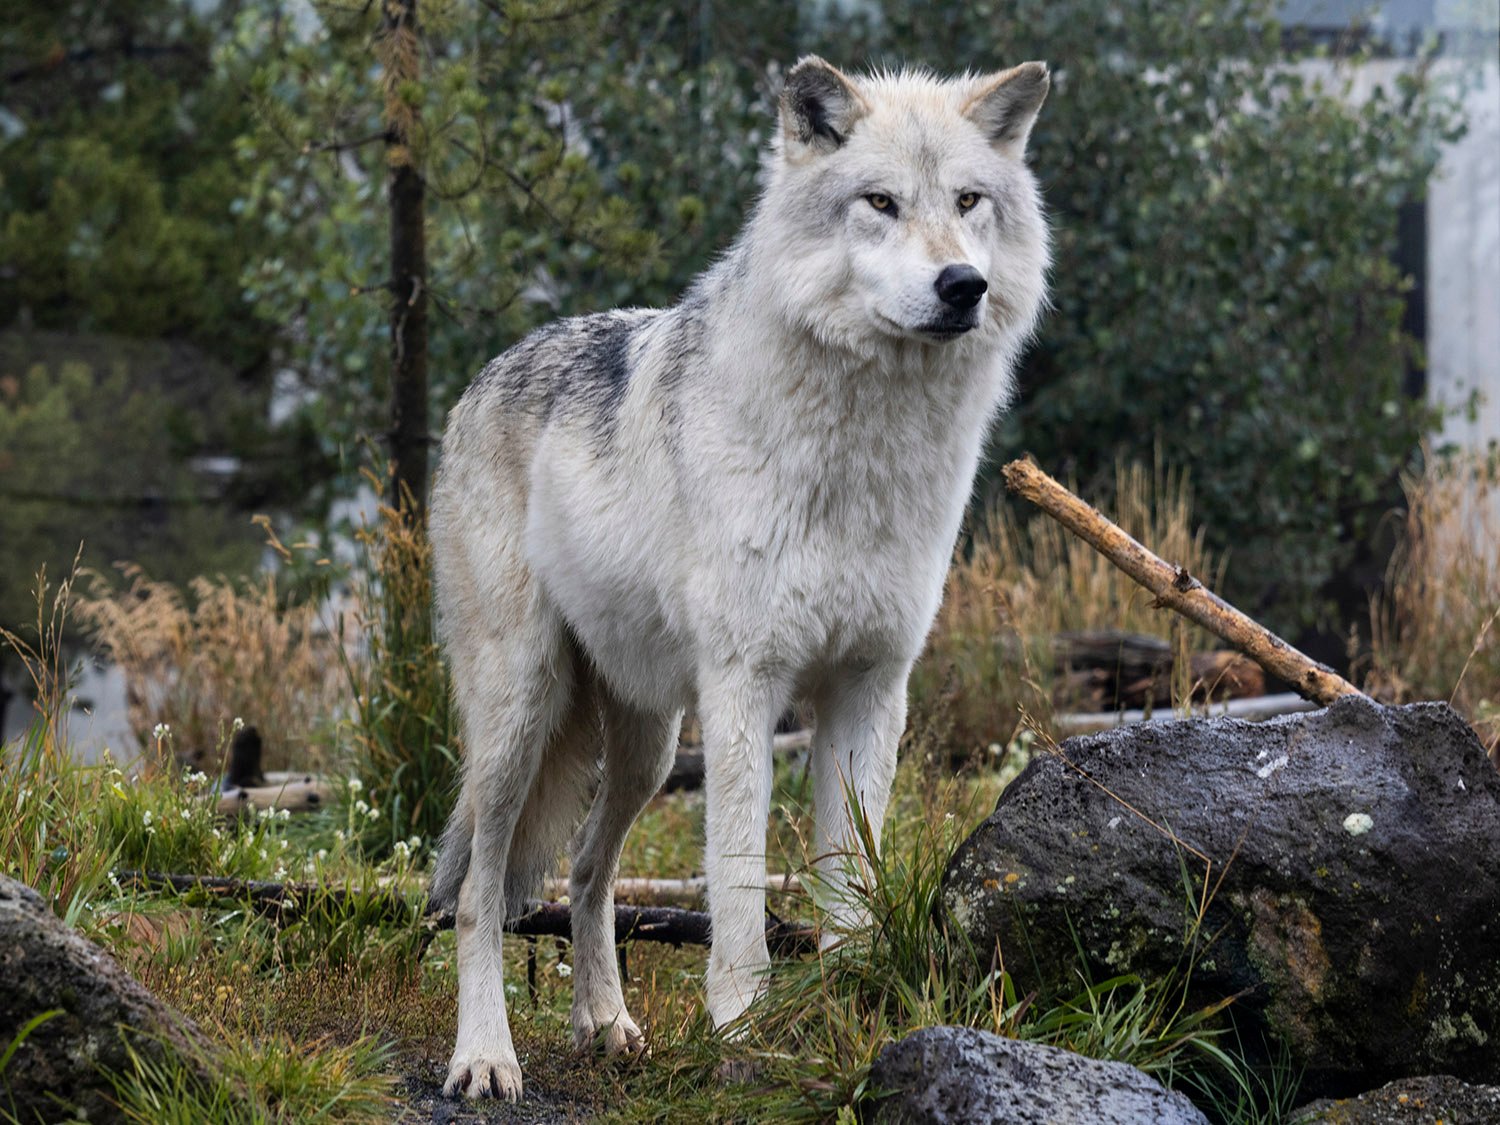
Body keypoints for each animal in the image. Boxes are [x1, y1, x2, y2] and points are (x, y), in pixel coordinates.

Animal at [427, 56, 1050, 1100]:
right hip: (524, 711)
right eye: (880, 202)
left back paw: (607, 1025)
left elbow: (852, 877)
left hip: (646, 741)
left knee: (589, 872)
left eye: (969, 201)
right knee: (481, 889)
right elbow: (741, 881)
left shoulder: (871, 688)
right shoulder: (744, 687)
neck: (861, 456)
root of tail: (482, 376)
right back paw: (485, 1056)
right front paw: (743, 1032)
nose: (962, 284)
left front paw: (855, 1014)